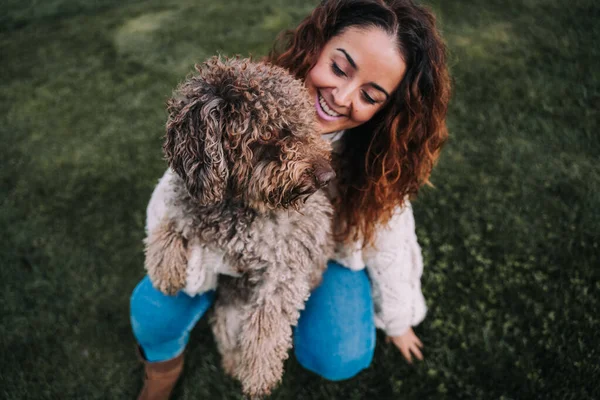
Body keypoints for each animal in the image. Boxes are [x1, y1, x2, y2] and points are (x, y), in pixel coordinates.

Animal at [144, 57, 336, 398]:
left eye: (304, 120)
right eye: (272, 133)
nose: (328, 176)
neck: (235, 203)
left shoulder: (283, 272)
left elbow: (266, 329)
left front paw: (259, 376)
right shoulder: (190, 198)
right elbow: (173, 220)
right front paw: (164, 269)